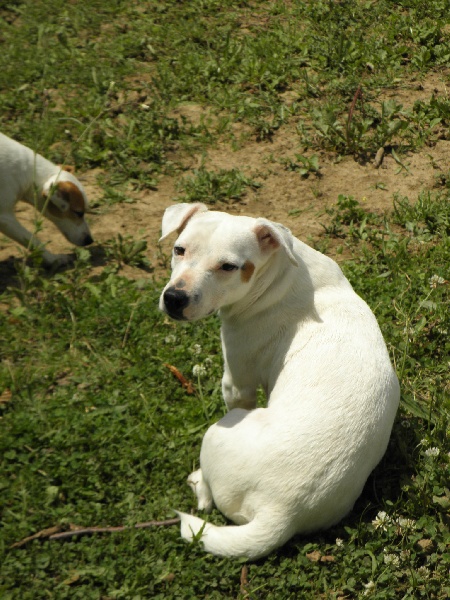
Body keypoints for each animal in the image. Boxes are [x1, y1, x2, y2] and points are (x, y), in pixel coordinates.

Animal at [0, 132, 92, 266]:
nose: (89, 240)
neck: (25, 170)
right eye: (78, 212)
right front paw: (53, 259)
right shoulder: (5, 218)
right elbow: (33, 241)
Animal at [160, 203, 400, 564]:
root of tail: (281, 512)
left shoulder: (237, 382)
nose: (175, 298)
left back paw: (198, 482)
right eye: (179, 249)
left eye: (228, 267)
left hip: (220, 430)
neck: (280, 274)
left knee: (207, 495)